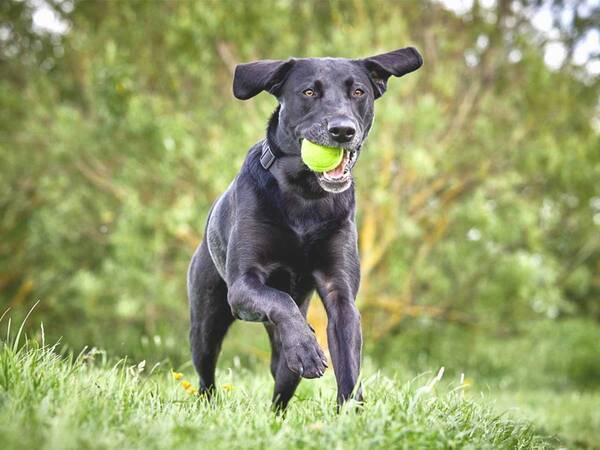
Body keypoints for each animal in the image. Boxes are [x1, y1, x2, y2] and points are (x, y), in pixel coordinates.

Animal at [188, 46, 422, 412]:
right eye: (309, 92)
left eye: (359, 92)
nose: (342, 130)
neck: (305, 195)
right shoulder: (242, 286)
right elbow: (279, 298)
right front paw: (307, 349)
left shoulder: (340, 291)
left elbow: (349, 360)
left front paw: (352, 413)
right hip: (206, 320)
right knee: (206, 370)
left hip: (279, 360)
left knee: (282, 381)